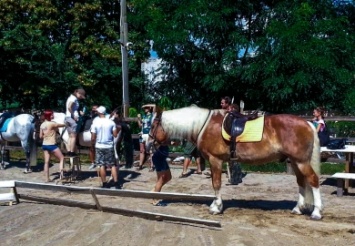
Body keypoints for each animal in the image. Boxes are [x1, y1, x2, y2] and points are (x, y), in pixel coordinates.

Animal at [149, 104, 324, 220]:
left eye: (153, 125)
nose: (148, 142)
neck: (204, 125)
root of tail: (307, 123)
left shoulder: (215, 160)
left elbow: (216, 183)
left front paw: (216, 207)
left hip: (301, 162)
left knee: (313, 180)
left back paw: (316, 212)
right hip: (295, 162)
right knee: (301, 182)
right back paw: (297, 209)